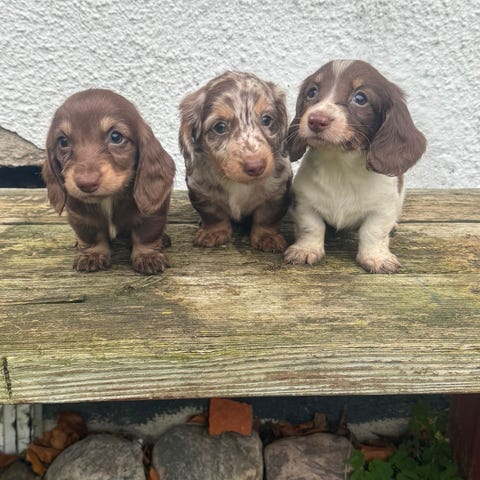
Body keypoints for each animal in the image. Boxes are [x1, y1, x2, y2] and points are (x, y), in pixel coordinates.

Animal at [42, 88, 176, 274]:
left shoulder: (153, 214)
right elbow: (91, 237)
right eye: (63, 141)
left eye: (116, 137)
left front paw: (148, 256)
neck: (109, 199)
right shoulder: (81, 218)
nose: (86, 183)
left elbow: (146, 235)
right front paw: (92, 255)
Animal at [179, 71, 292, 252]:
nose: (256, 166)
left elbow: (267, 217)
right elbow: (213, 214)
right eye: (219, 127)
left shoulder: (277, 191)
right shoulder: (201, 191)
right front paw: (213, 232)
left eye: (266, 120)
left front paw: (267, 237)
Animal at [284, 60, 426, 273]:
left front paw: (376, 258)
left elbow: (373, 231)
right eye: (312, 92)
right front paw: (305, 250)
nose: (316, 120)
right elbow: (312, 227)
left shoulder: (382, 208)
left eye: (360, 98)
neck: (339, 166)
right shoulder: (304, 202)